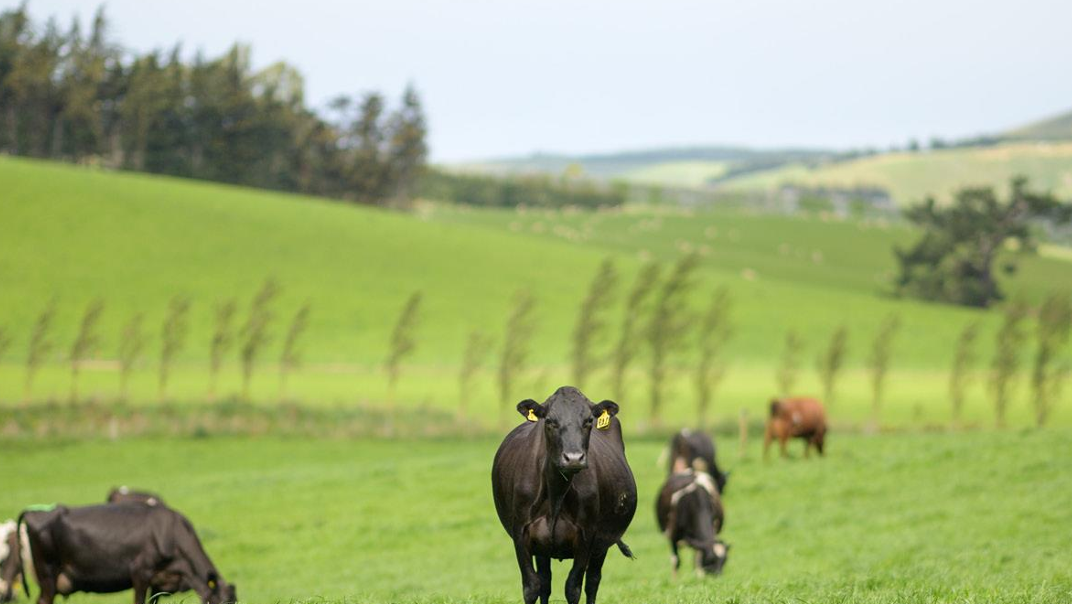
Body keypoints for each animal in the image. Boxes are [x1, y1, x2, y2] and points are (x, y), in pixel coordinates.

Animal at [493, 388, 634, 604]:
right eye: (550, 421)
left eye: (589, 421)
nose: (573, 458)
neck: (556, 493)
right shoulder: (521, 533)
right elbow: (532, 587)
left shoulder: (586, 535)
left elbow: (573, 587)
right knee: (545, 581)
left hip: (604, 541)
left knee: (592, 581)